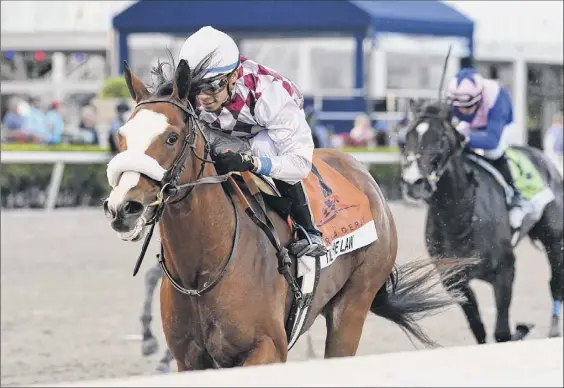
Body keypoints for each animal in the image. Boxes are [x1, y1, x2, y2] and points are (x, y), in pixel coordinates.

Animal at [398, 99, 560, 342]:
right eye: (407, 137)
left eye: (441, 138)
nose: (413, 183)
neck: (460, 219)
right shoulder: (454, 280)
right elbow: (478, 328)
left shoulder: (505, 271)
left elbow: (502, 333)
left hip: (554, 239)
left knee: (556, 282)